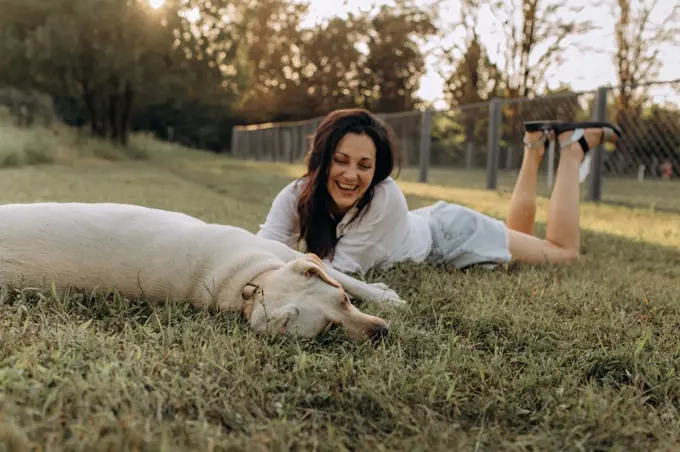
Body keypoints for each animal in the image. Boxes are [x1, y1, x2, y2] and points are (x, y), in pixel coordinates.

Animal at [0, 203, 404, 340]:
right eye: (327, 331)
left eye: (345, 302)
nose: (383, 333)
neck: (249, 284)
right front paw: (391, 299)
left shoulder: (287, 253)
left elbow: (348, 277)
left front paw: (384, 295)